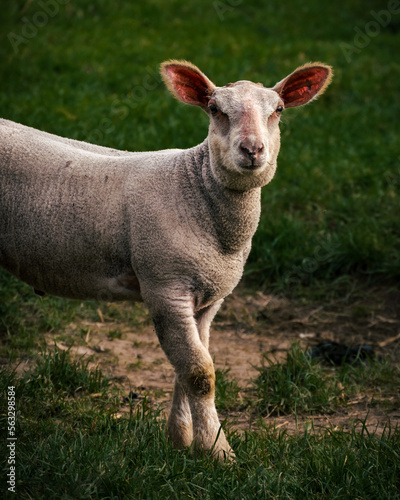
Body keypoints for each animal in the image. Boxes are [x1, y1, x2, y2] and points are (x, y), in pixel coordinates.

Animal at [0, 58, 332, 458]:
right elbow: (199, 373)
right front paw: (219, 452)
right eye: (214, 109)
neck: (197, 193)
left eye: (279, 110)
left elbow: (186, 368)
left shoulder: (209, 297)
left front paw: (183, 440)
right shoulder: (165, 286)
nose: (252, 149)